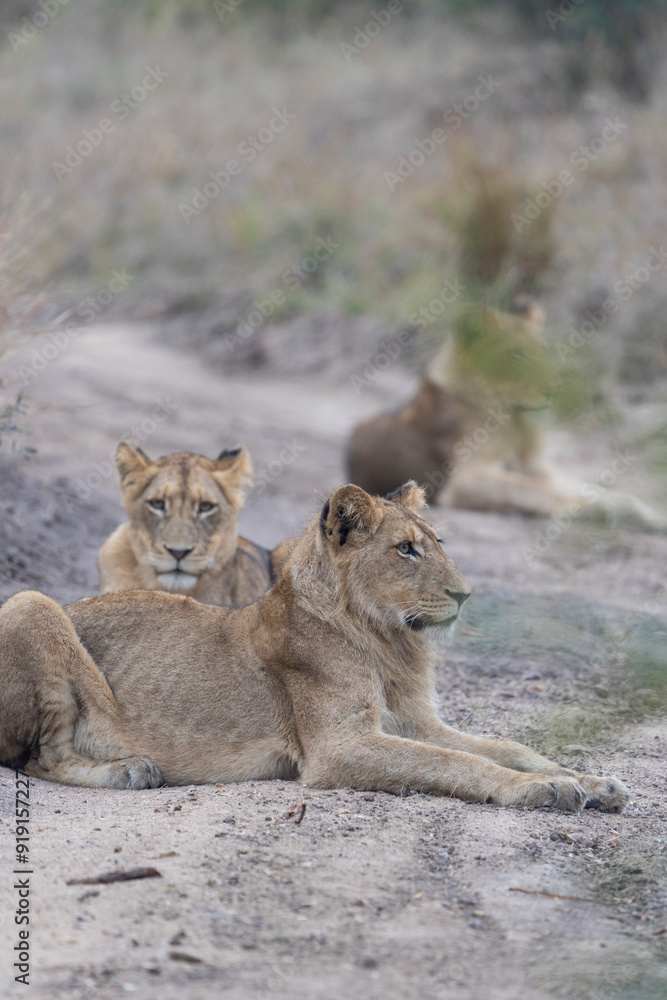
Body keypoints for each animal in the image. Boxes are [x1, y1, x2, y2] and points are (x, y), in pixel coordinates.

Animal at [0, 481, 628, 813]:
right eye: (405, 549)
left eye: (437, 542)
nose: (465, 594)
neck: (390, 642)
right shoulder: (337, 747)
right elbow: (458, 762)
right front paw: (544, 788)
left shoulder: (417, 721)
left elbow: (504, 745)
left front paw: (590, 781)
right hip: (31, 602)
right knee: (39, 758)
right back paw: (130, 771)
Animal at [347, 302, 665, 530]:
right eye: (517, 356)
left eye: (543, 352)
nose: (554, 388)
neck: (516, 417)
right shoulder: (466, 481)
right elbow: (535, 491)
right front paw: (616, 512)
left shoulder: (537, 467)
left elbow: (582, 487)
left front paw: (645, 511)